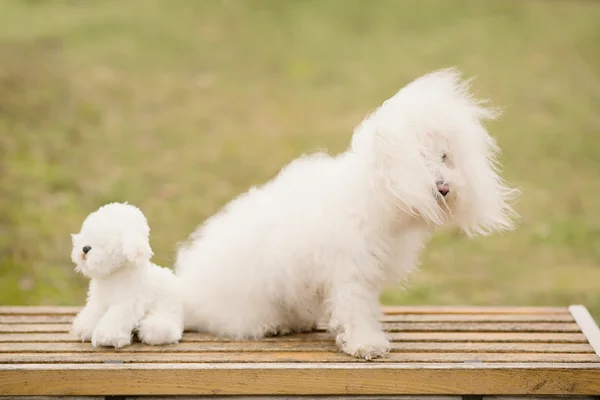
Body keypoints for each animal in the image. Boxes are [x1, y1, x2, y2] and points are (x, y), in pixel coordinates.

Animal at [70, 202, 183, 348]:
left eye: (103, 244)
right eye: (87, 235)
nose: (85, 248)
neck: (112, 277)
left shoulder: (126, 304)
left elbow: (115, 319)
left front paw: (107, 337)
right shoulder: (98, 301)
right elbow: (93, 314)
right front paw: (84, 329)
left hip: (166, 307)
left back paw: (152, 330)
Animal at [175, 68, 520, 360]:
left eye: (445, 156)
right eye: (418, 159)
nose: (444, 187)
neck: (375, 196)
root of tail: (189, 291)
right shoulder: (350, 271)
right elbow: (356, 310)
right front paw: (367, 345)